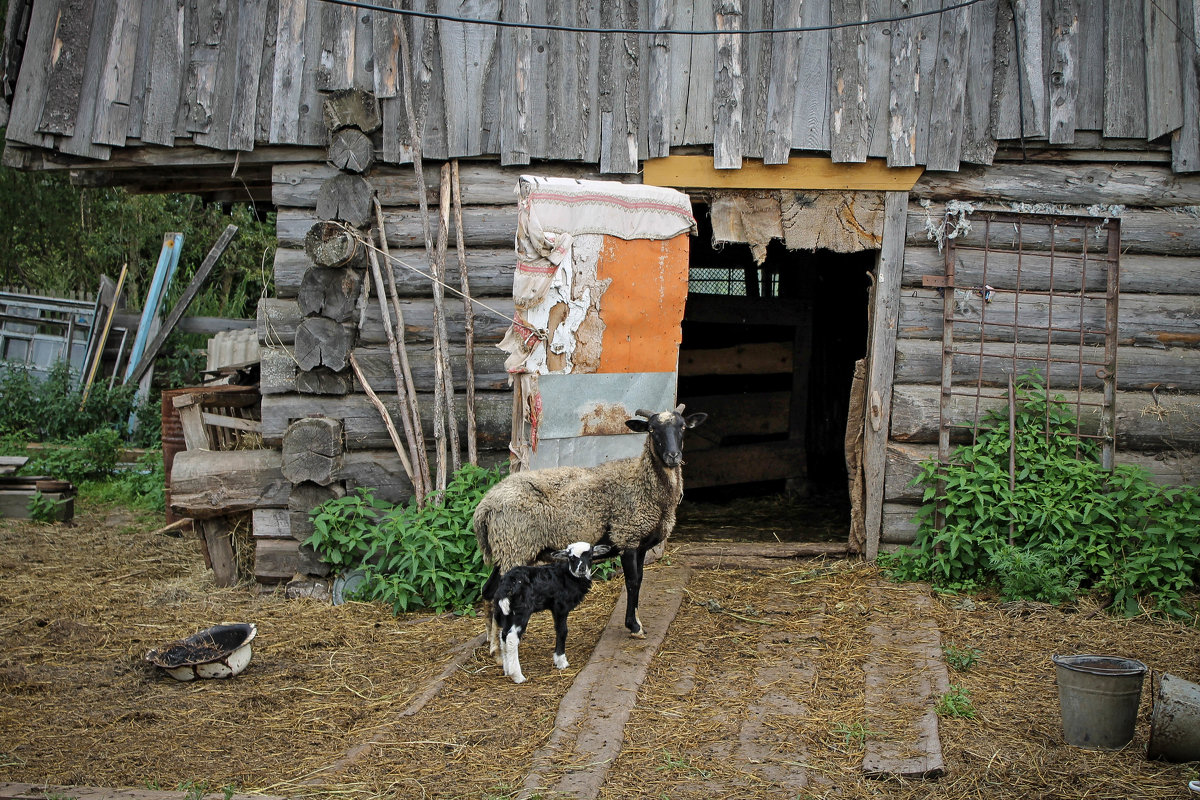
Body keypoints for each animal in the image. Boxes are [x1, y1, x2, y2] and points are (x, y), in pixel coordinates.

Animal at [472, 402, 705, 662]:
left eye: (682, 427)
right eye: (652, 430)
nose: (673, 456)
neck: (643, 484)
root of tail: (485, 505)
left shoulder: (641, 544)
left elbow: (641, 580)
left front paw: (636, 621)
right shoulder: (627, 536)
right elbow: (632, 582)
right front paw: (634, 626)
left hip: (505, 548)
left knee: (488, 590)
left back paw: (492, 644)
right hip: (515, 545)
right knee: (499, 592)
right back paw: (500, 650)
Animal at [484, 542, 609, 686]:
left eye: (590, 556)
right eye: (571, 557)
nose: (581, 569)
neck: (568, 577)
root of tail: (507, 584)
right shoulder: (560, 607)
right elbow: (562, 631)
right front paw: (561, 661)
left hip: (507, 612)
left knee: (503, 635)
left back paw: (507, 669)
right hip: (522, 611)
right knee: (511, 638)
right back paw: (517, 676)